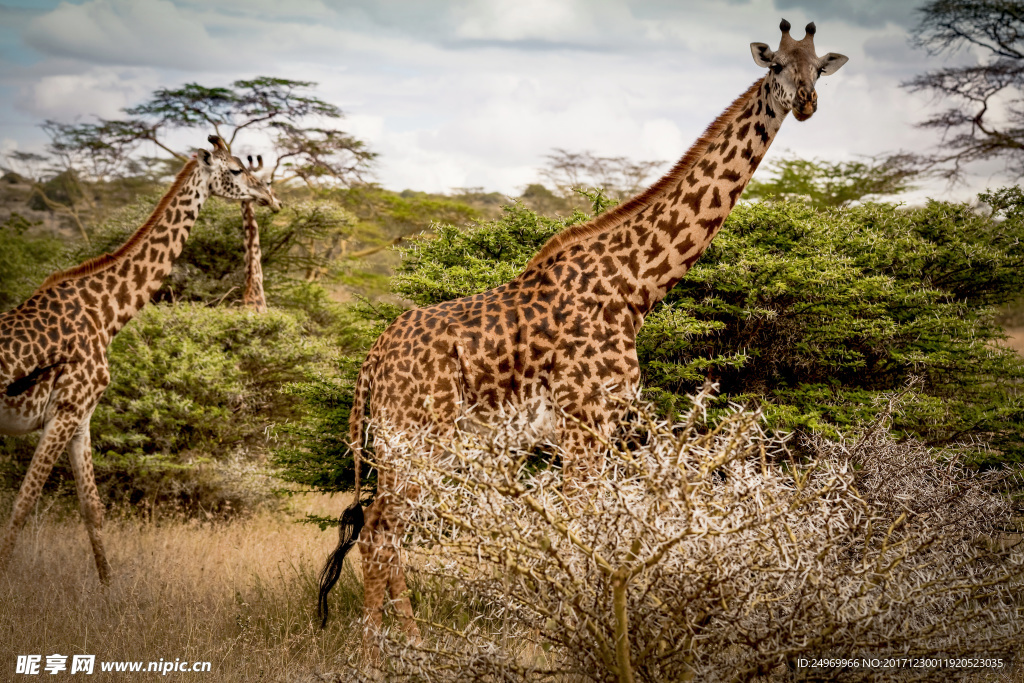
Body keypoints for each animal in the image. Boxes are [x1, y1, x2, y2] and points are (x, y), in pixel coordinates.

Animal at [0, 136, 280, 585]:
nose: (269, 197)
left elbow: (92, 508)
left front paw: (108, 588)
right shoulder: (65, 411)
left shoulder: (80, 418)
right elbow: (24, 502)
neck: (105, 313)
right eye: (236, 170)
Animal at [319, 18, 847, 655]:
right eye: (776, 67)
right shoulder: (584, 421)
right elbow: (584, 531)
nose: (807, 104)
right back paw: (381, 649)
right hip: (415, 441)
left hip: (411, 446)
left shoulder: (599, 427)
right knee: (379, 531)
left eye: (818, 69)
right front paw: (582, 637)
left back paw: (412, 642)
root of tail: (371, 363)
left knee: (382, 529)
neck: (637, 285)